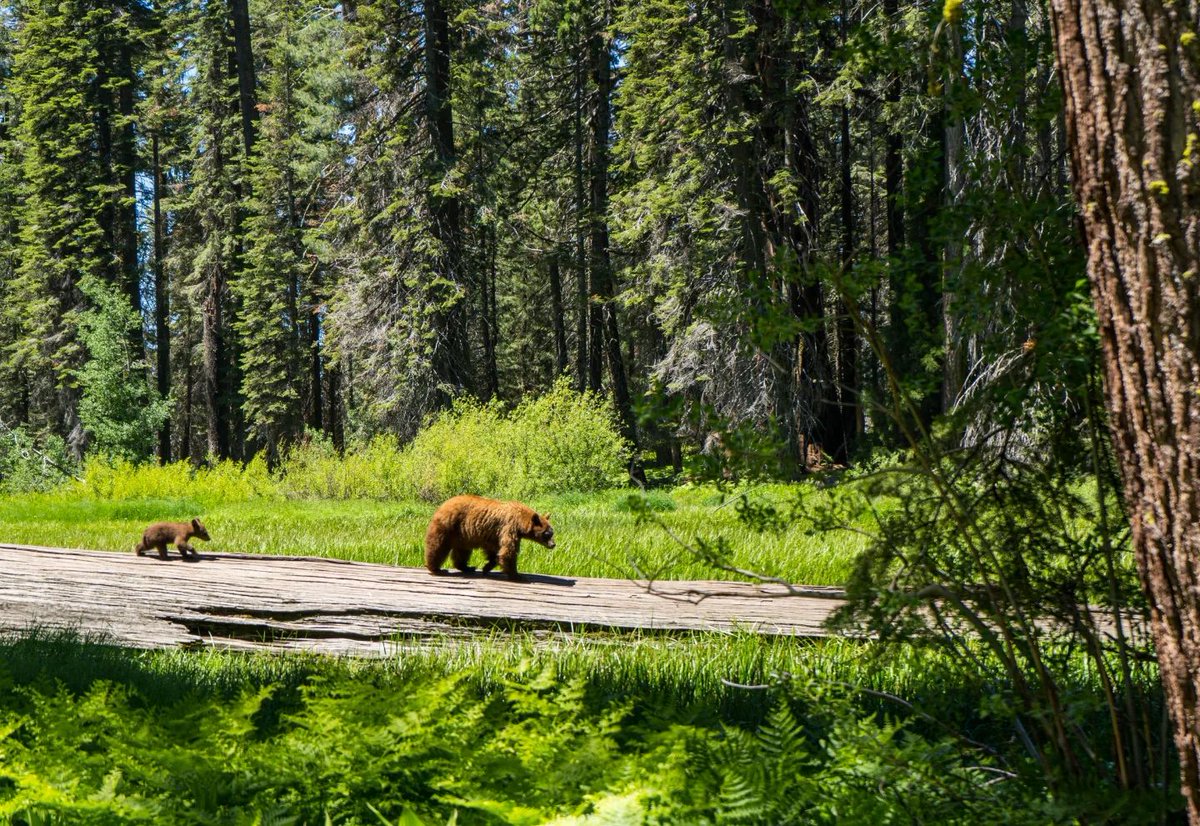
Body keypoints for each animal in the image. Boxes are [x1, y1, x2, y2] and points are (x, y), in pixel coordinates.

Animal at [424, 495, 555, 581]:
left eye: (552, 532)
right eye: (546, 534)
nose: (553, 544)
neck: (520, 521)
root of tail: (442, 505)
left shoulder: (494, 535)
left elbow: (495, 551)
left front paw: (487, 567)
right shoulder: (509, 527)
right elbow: (508, 551)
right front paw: (517, 575)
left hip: (462, 535)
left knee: (462, 552)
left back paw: (467, 567)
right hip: (447, 527)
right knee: (437, 547)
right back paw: (436, 569)